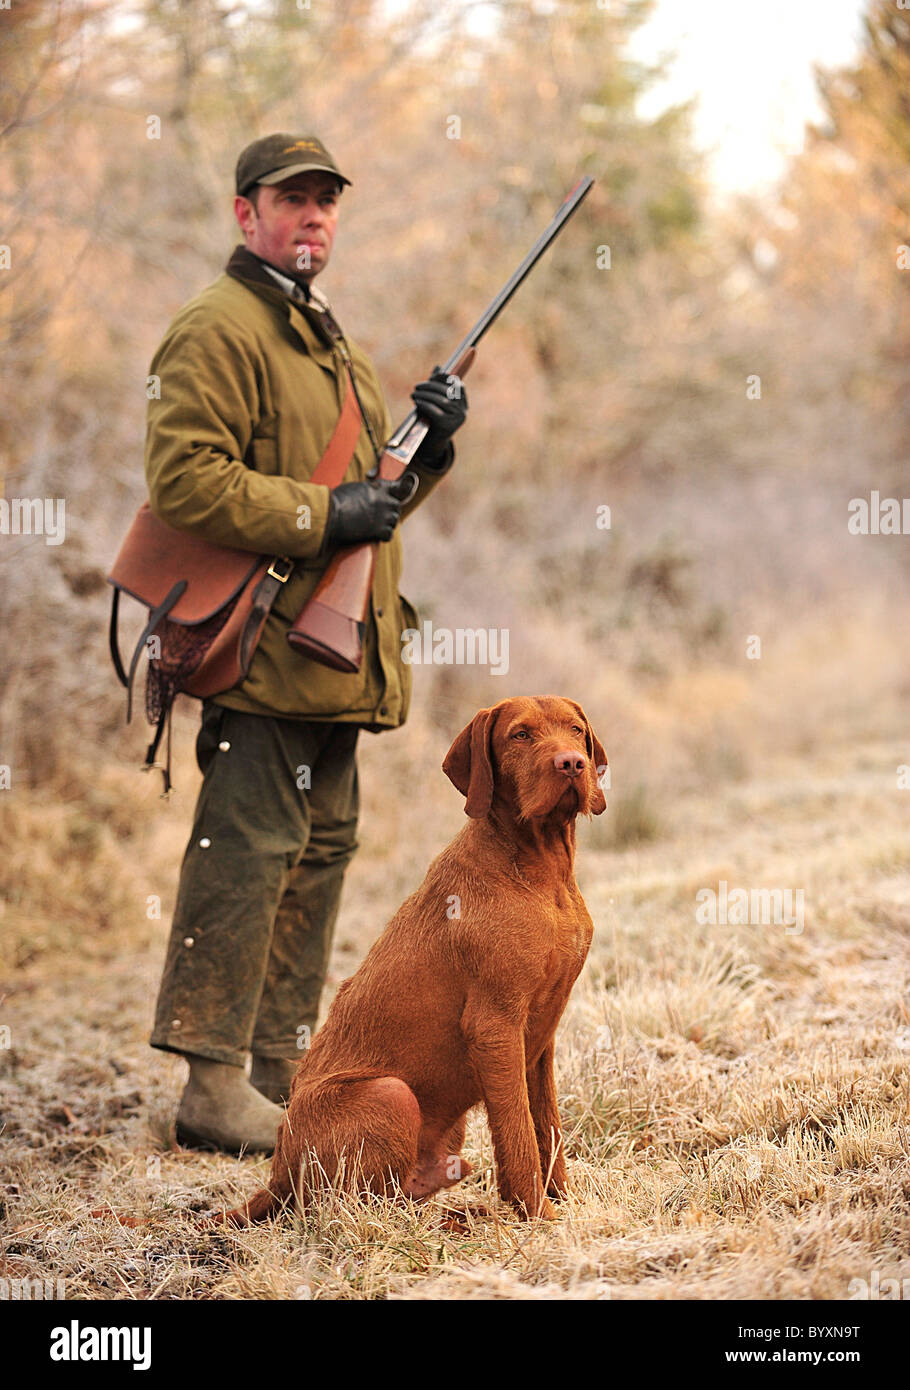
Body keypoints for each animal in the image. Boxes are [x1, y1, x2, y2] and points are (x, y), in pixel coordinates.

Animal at [216, 700, 608, 1223]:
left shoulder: (542, 1033)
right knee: (349, 1206)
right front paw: (538, 1216)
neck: (541, 871)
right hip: (391, 1094)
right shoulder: (495, 1026)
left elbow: (547, 1127)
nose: (571, 763)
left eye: (576, 730)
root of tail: (277, 1172)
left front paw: (563, 1201)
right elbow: (519, 1130)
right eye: (520, 735)